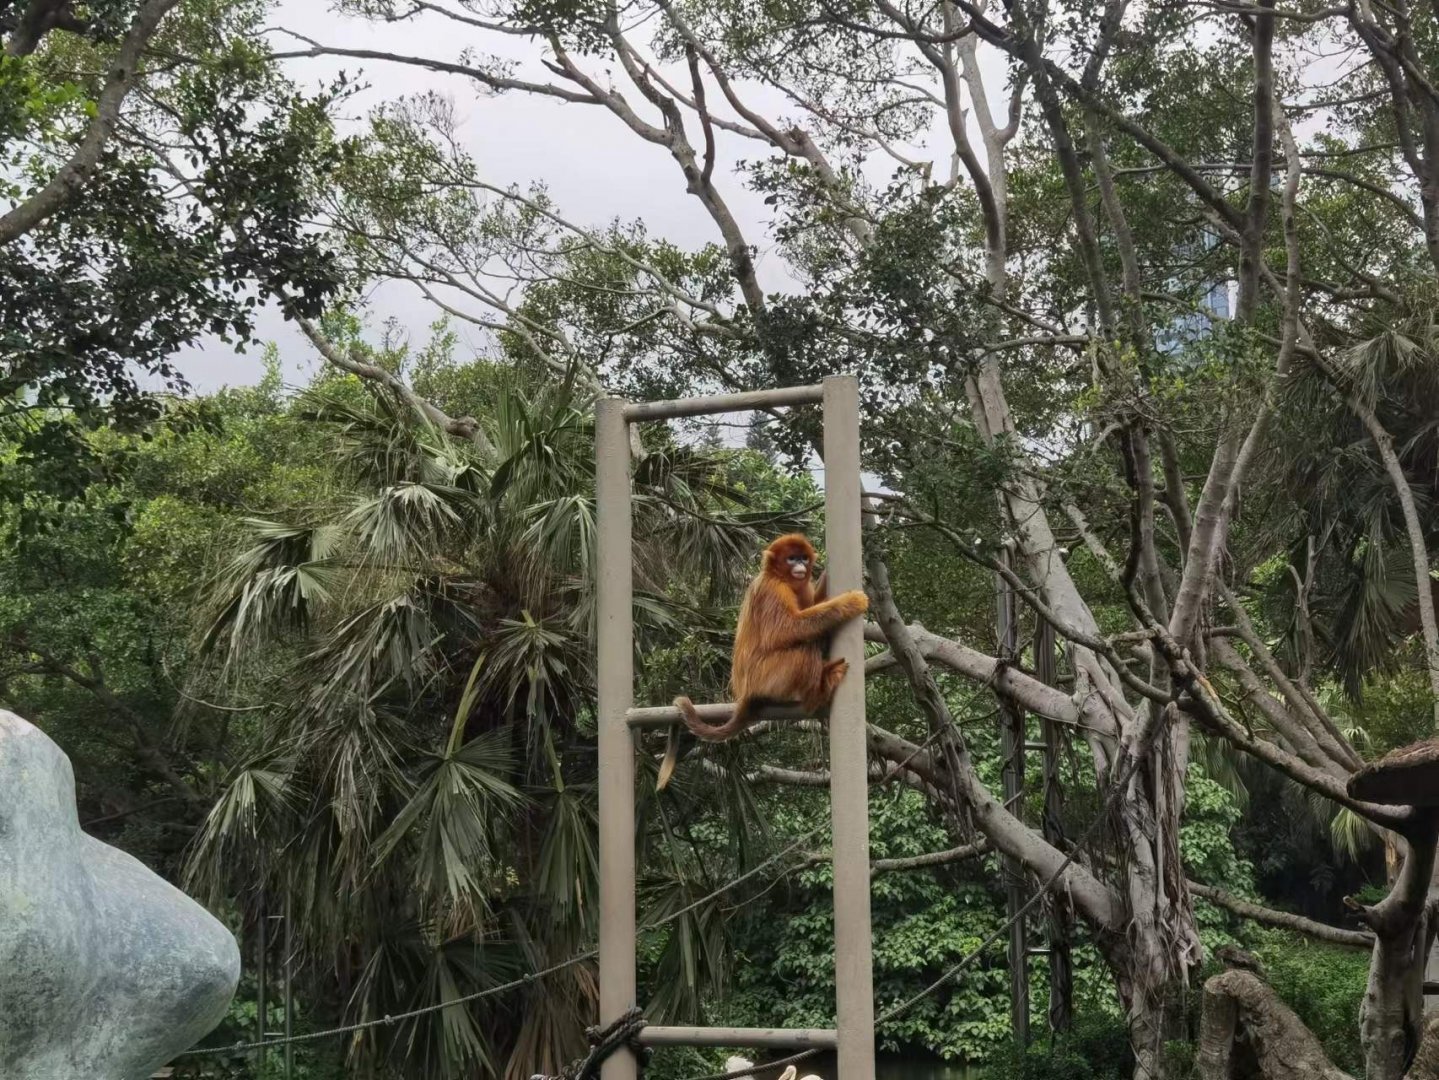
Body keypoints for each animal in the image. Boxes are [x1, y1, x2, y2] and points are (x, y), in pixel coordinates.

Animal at [655, 533, 868, 791]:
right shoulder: (773, 590)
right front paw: (851, 602)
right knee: (805, 646)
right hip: (769, 676)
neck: (778, 576)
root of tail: (746, 692)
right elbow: (787, 630)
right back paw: (816, 695)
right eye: (792, 558)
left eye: (803, 557)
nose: (801, 565)